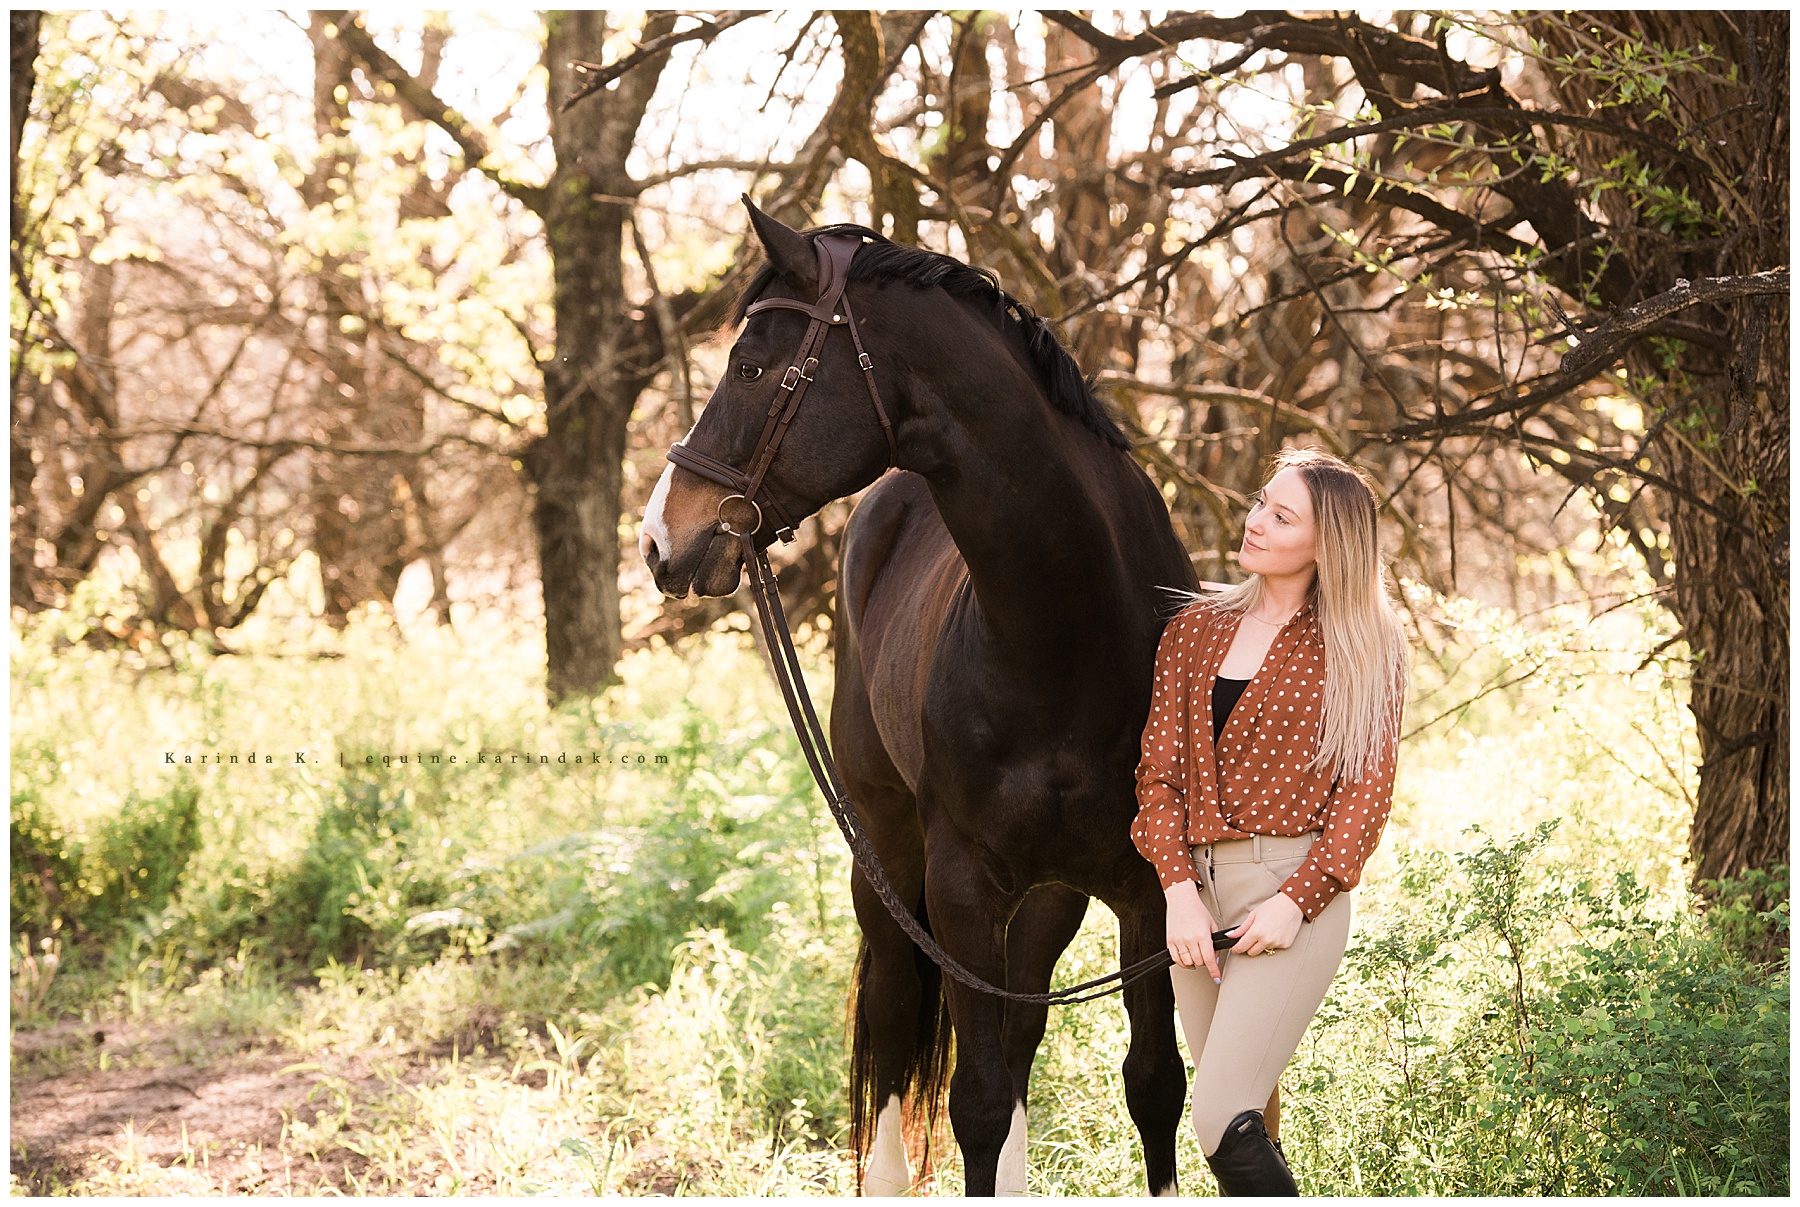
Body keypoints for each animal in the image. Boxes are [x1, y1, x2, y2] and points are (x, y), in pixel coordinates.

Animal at [640, 200, 1198, 1195]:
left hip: (1044, 898)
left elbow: (1152, 1085)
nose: (661, 538)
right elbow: (972, 1101)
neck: (1073, 634)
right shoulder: (962, 885)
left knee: (1016, 1035)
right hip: (889, 859)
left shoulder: (1148, 892)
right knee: (900, 1022)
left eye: (750, 367)